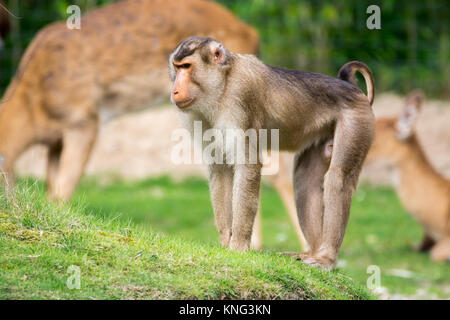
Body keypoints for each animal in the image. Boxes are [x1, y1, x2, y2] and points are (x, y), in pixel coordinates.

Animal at [169, 36, 376, 268]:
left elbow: (248, 165)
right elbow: (219, 168)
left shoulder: (241, 97)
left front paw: (238, 245)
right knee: (305, 181)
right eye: (176, 67)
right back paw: (312, 252)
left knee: (338, 177)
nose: (174, 90)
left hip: (357, 119)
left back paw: (326, 258)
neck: (222, 85)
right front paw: (225, 241)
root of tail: (349, 87)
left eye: (187, 66)